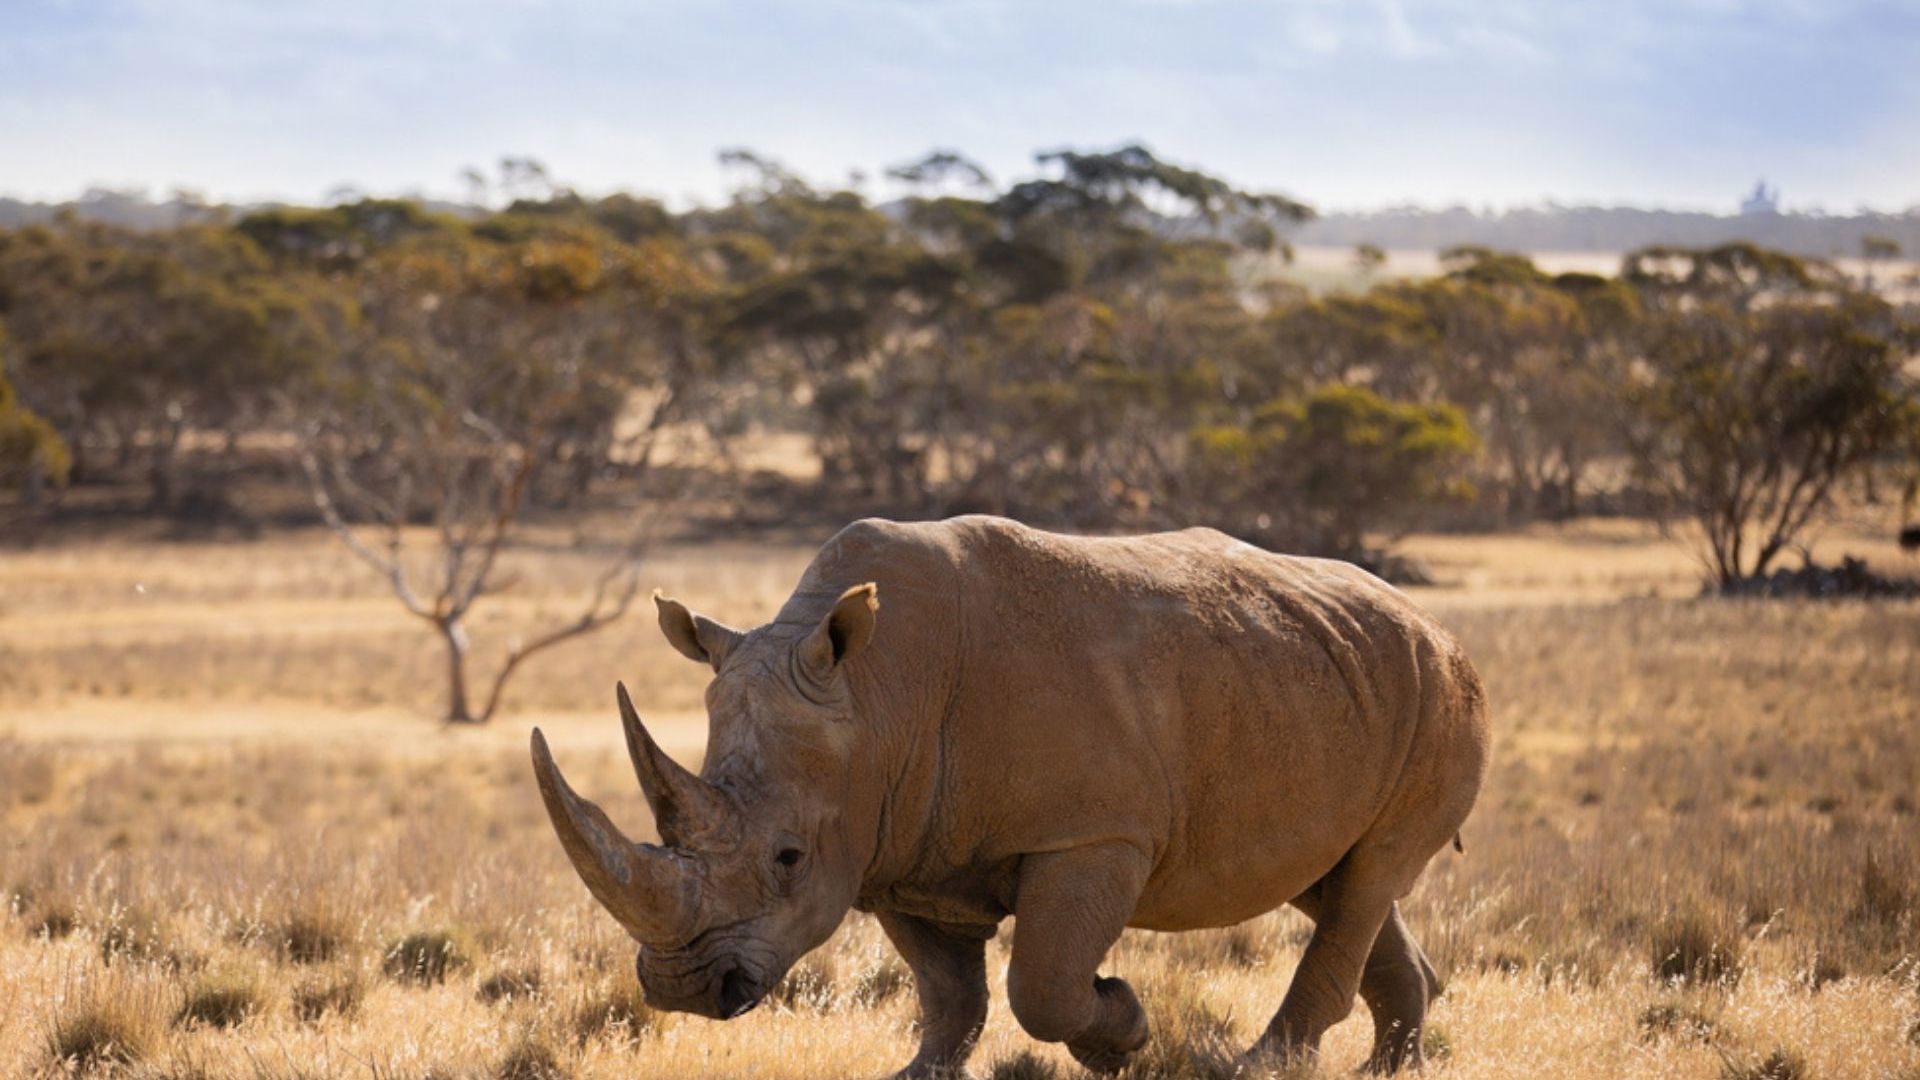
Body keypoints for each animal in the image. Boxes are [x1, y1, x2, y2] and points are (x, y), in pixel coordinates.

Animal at [531, 515, 1489, 1075]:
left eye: (788, 858)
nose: (686, 988)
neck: (878, 694)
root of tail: (1435, 623)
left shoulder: (1093, 834)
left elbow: (1044, 983)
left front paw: (1122, 1030)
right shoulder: (894, 845)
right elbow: (948, 992)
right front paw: (918, 1076)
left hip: (1440, 694)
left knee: (1369, 875)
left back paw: (1262, 1065)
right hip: (1330, 679)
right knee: (1337, 881)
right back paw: (1390, 1069)